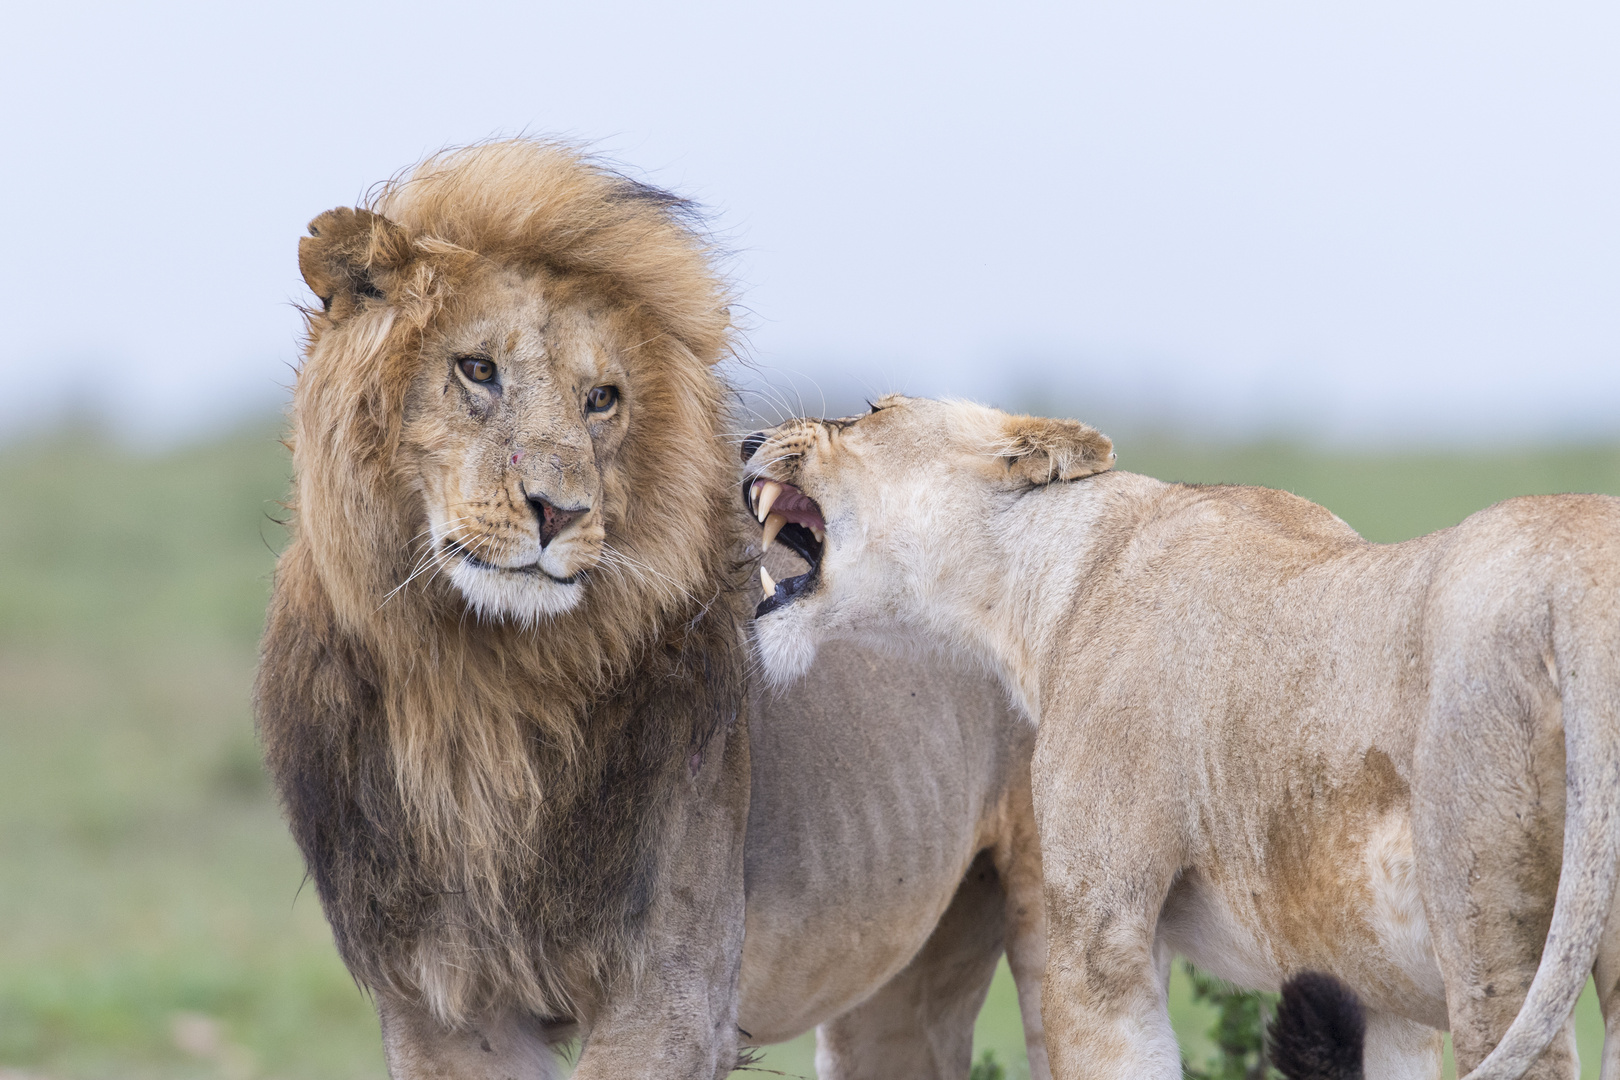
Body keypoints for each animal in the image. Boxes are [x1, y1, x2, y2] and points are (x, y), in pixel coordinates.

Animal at [246, 145, 1043, 1080]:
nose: (558, 512)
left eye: (602, 399)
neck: (482, 692)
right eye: (476, 370)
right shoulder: (438, 1007)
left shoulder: (673, 990)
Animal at [741, 396, 1620, 1080]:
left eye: (871, 410)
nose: (748, 443)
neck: (1045, 582)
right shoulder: (1376, 989)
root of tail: (1582, 579)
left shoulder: (1099, 940)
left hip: (1490, 942)